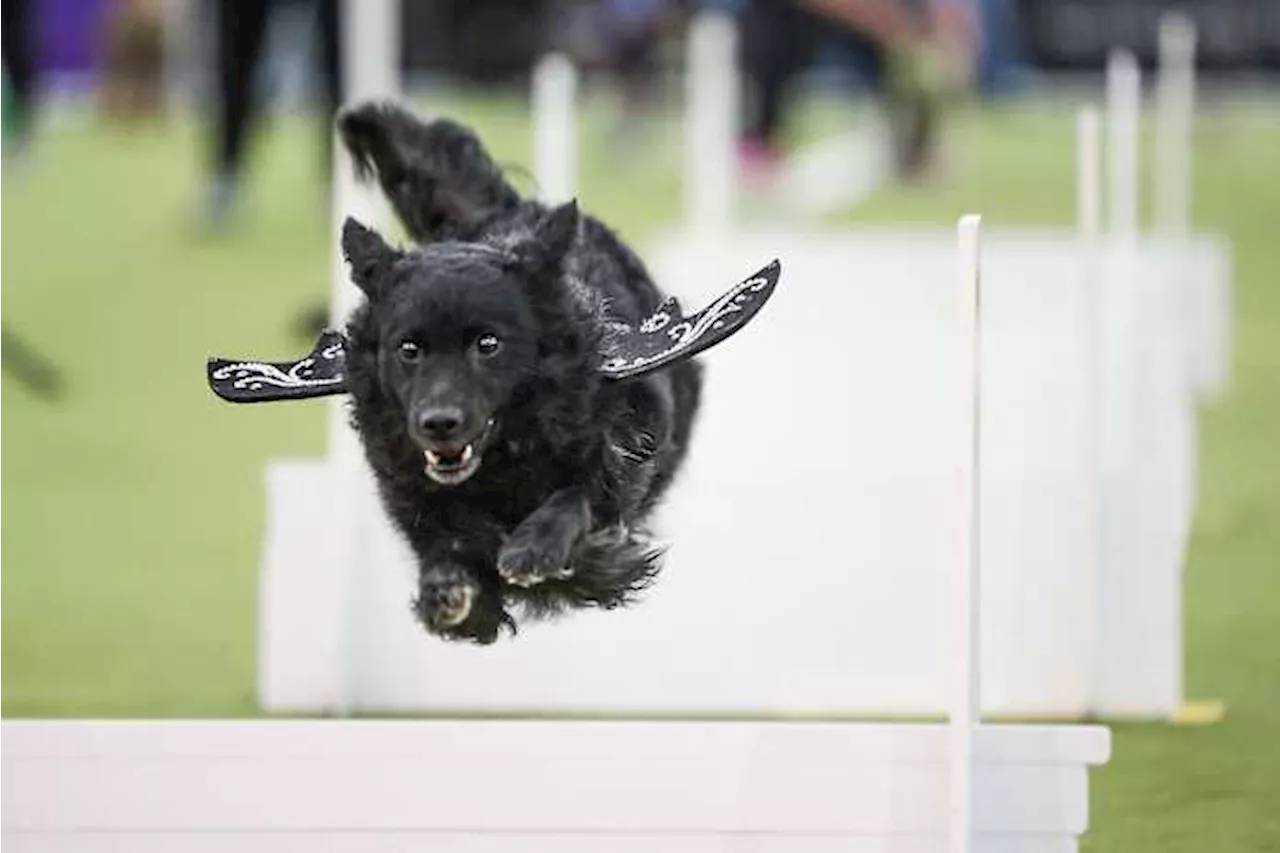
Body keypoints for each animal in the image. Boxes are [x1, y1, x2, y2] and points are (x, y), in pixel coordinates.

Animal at [335, 103, 706, 640]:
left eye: (488, 344)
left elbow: (582, 494)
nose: (438, 423)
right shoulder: (408, 485)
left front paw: (536, 548)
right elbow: (442, 542)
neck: (502, 455)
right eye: (409, 349)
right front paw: (446, 587)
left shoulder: (620, 446)